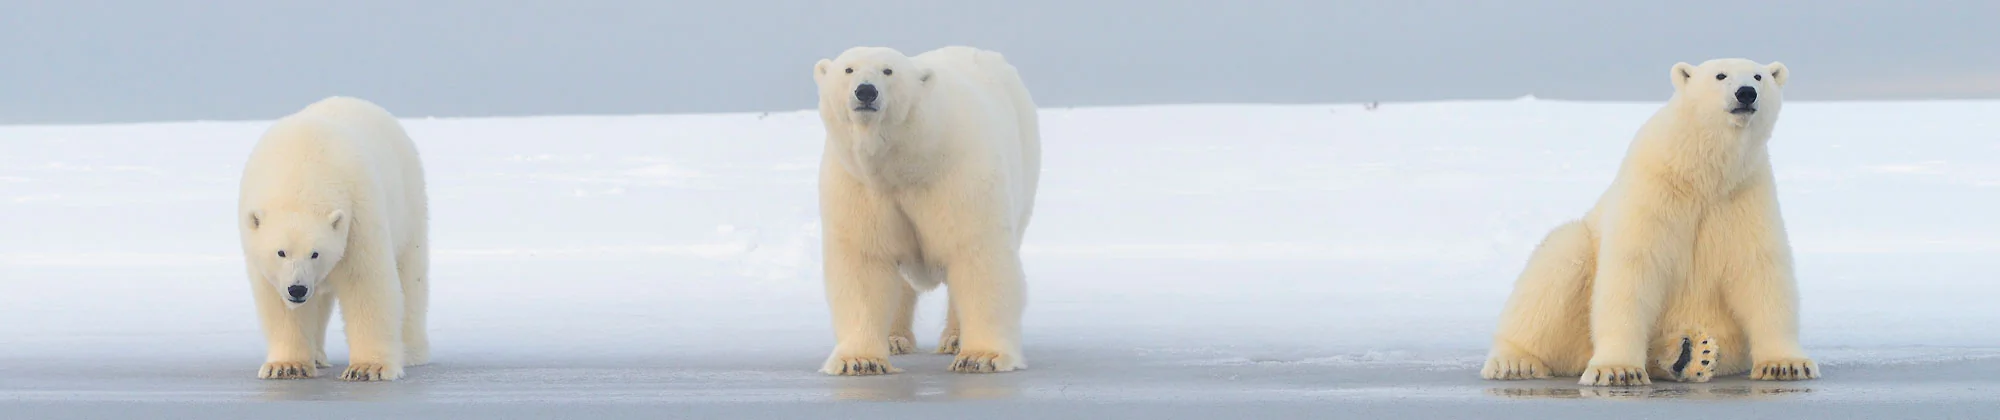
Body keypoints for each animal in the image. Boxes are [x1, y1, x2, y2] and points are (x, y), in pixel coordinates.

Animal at [237, 96, 430, 381]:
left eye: (315, 253)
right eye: (281, 252)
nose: (297, 289)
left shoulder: (358, 216)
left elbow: (366, 284)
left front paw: (367, 368)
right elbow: (278, 302)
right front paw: (286, 366)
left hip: (409, 204)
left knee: (411, 277)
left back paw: (411, 352)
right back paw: (317, 355)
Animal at [810, 46, 1041, 375]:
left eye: (888, 70)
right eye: (849, 69)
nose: (866, 91)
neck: (910, 161)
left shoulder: (958, 178)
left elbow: (977, 256)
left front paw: (981, 357)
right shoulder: (860, 187)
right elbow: (865, 262)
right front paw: (860, 360)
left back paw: (954, 339)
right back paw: (894, 338)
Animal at [1480, 59, 1819, 386]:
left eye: (1759, 76)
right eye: (1720, 75)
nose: (1746, 93)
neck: (1701, 173)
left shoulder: (1744, 194)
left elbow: (1760, 269)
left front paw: (1786, 364)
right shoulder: (1653, 187)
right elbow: (1633, 267)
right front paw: (1617, 370)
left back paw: (1691, 354)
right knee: (1557, 264)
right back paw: (1514, 361)